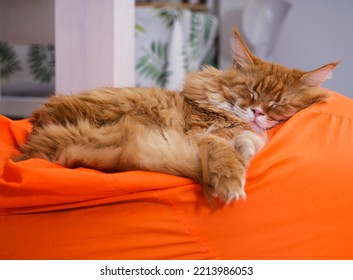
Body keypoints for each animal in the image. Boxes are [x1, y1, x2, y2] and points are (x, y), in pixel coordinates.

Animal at [13, 26, 336, 203]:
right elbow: (226, 153)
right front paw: (231, 181)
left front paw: (246, 148)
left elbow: (250, 141)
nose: (257, 111)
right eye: (251, 92)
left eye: (278, 103)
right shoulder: (203, 135)